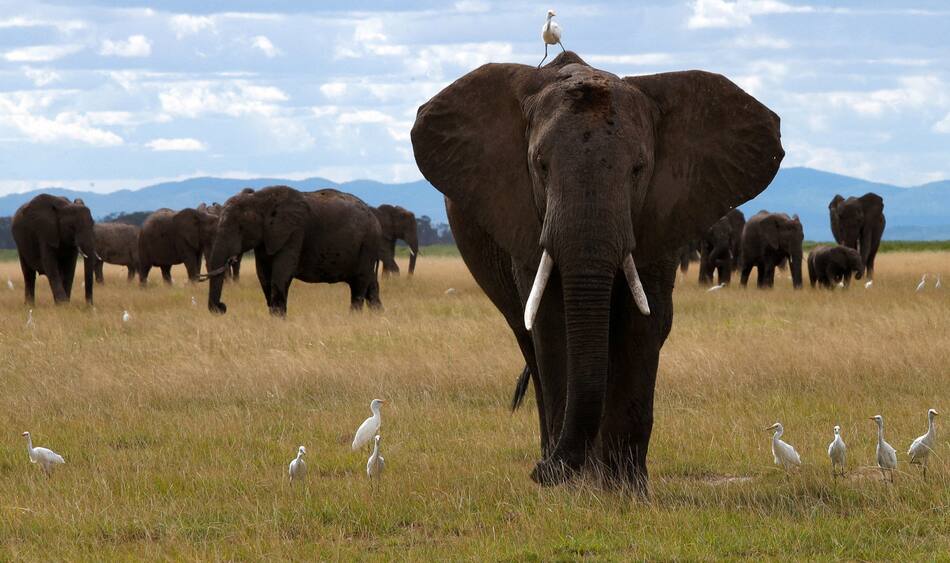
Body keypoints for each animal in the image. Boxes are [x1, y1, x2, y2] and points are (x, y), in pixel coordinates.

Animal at [205, 186, 384, 316]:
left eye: (240, 228)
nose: (222, 307)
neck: (259, 199)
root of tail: (373, 216)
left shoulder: (294, 233)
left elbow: (281, 275)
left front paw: (278, 320)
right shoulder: (265, 240)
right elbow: (264, 276)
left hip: (368, 243)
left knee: (359, 284)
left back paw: (354, 317)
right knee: (370, 285)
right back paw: (378, 317)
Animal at [411, 51, 783, 488]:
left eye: (638, 169)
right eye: (540, 166)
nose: (539, 472)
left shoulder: (663, 214)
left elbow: (642, 323)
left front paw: (625, 490)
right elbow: (553, 324)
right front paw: (572, 488)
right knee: (528, 340)